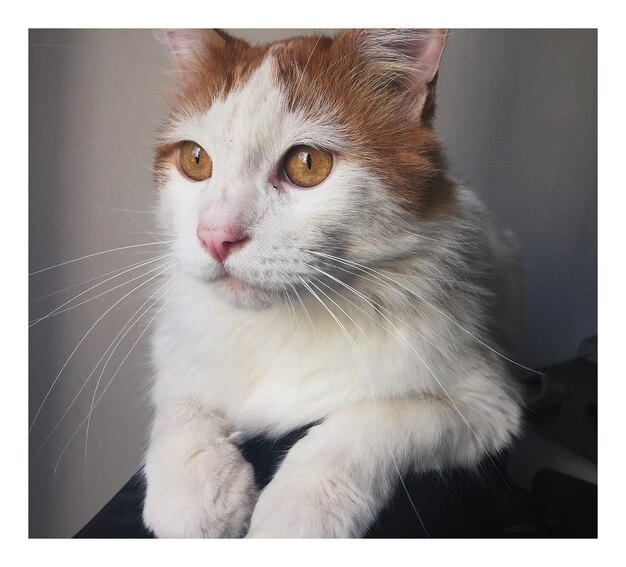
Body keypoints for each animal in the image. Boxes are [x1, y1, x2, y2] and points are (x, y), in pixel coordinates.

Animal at [141, 28, 520, 540]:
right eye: (195, 160)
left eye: (307, 164)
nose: (215, 237)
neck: (278, 326)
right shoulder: (176, 344)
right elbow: (178, 400)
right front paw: (197, 487)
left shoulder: (488, 403)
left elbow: (372, 421)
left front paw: (299, 511)